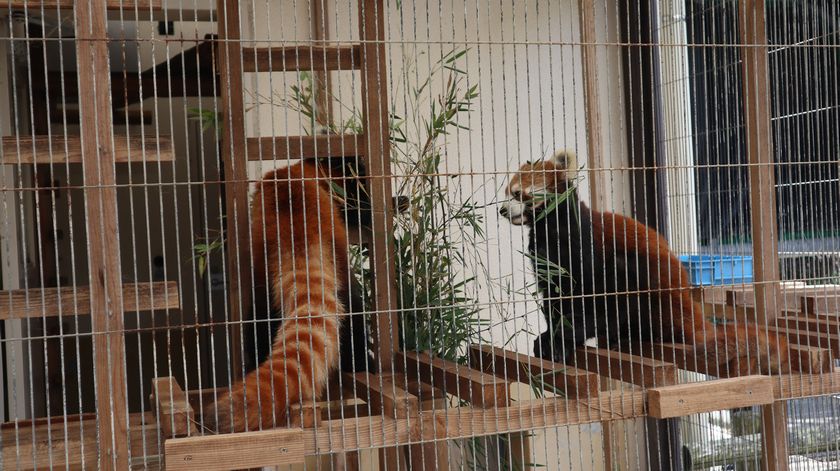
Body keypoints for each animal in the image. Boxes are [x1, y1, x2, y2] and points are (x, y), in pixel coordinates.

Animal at [502, 149, 792, 378]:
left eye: (518, 194)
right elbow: (554, 299)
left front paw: (562, 339)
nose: (502, 210)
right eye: (507, 193)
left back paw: (628, 334)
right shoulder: (545, 263)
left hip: (652, 292)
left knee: (624, 282)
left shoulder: (584, 247)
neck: (550, 228)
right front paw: (550, 337)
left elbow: (589, 300)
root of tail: (689, 310)